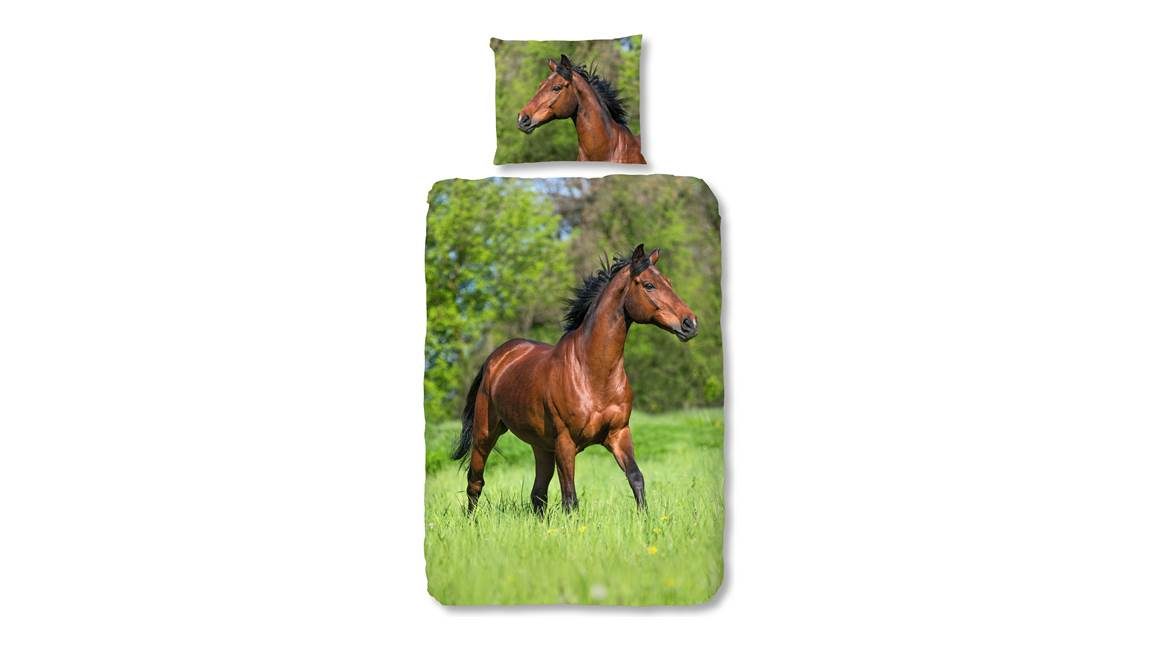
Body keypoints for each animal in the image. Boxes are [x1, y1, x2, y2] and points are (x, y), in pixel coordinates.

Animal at [451, 244, 697, 514]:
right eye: (649, 285)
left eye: (669, 282)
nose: (690, 323)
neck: (592, 374)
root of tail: (496, 358)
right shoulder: (565, 442)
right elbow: (570, 498)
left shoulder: (619, 434)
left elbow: (636, 478)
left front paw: (645, 518)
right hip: (485, 434)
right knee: (475, 483)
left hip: (542, 446)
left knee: (537, 494)